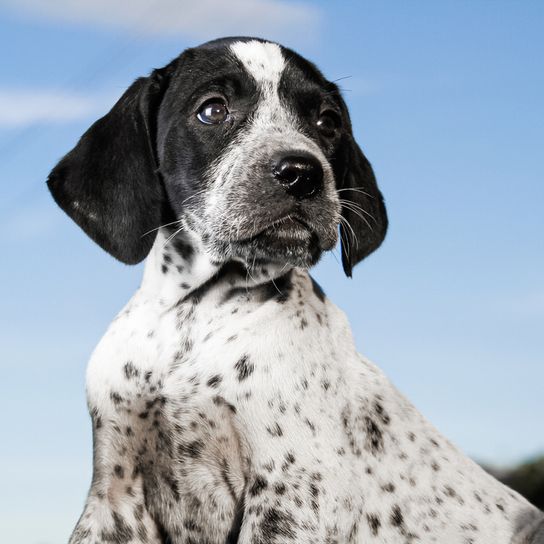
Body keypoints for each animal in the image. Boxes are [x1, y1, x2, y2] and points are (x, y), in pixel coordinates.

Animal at [49, 36, 540, 540]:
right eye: (212, 110)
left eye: (328, 121)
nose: (303, 173)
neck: (193, 317)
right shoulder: (114, 496)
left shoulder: (291, 494)